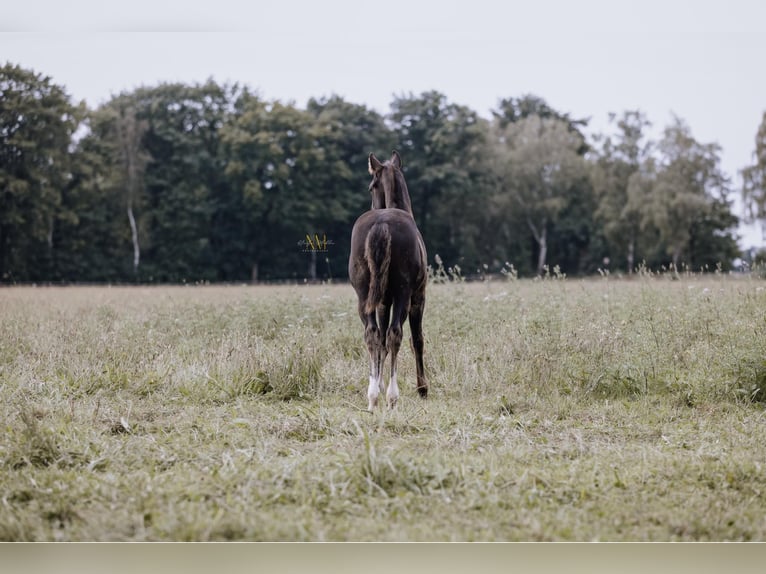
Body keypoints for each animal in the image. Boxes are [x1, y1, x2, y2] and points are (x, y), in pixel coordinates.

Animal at [352, 151, 428, 412]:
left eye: (370, 187)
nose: (372, 203)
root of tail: (381, 224)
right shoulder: (418, 296)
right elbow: (417, 339)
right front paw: (423, 388)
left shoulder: (383, 301)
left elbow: (381, 341)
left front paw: (379, 382)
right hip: (404, 294)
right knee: (396, 333)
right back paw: (392, 397)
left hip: (364, 296)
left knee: (372, 333)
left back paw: (373, 395)